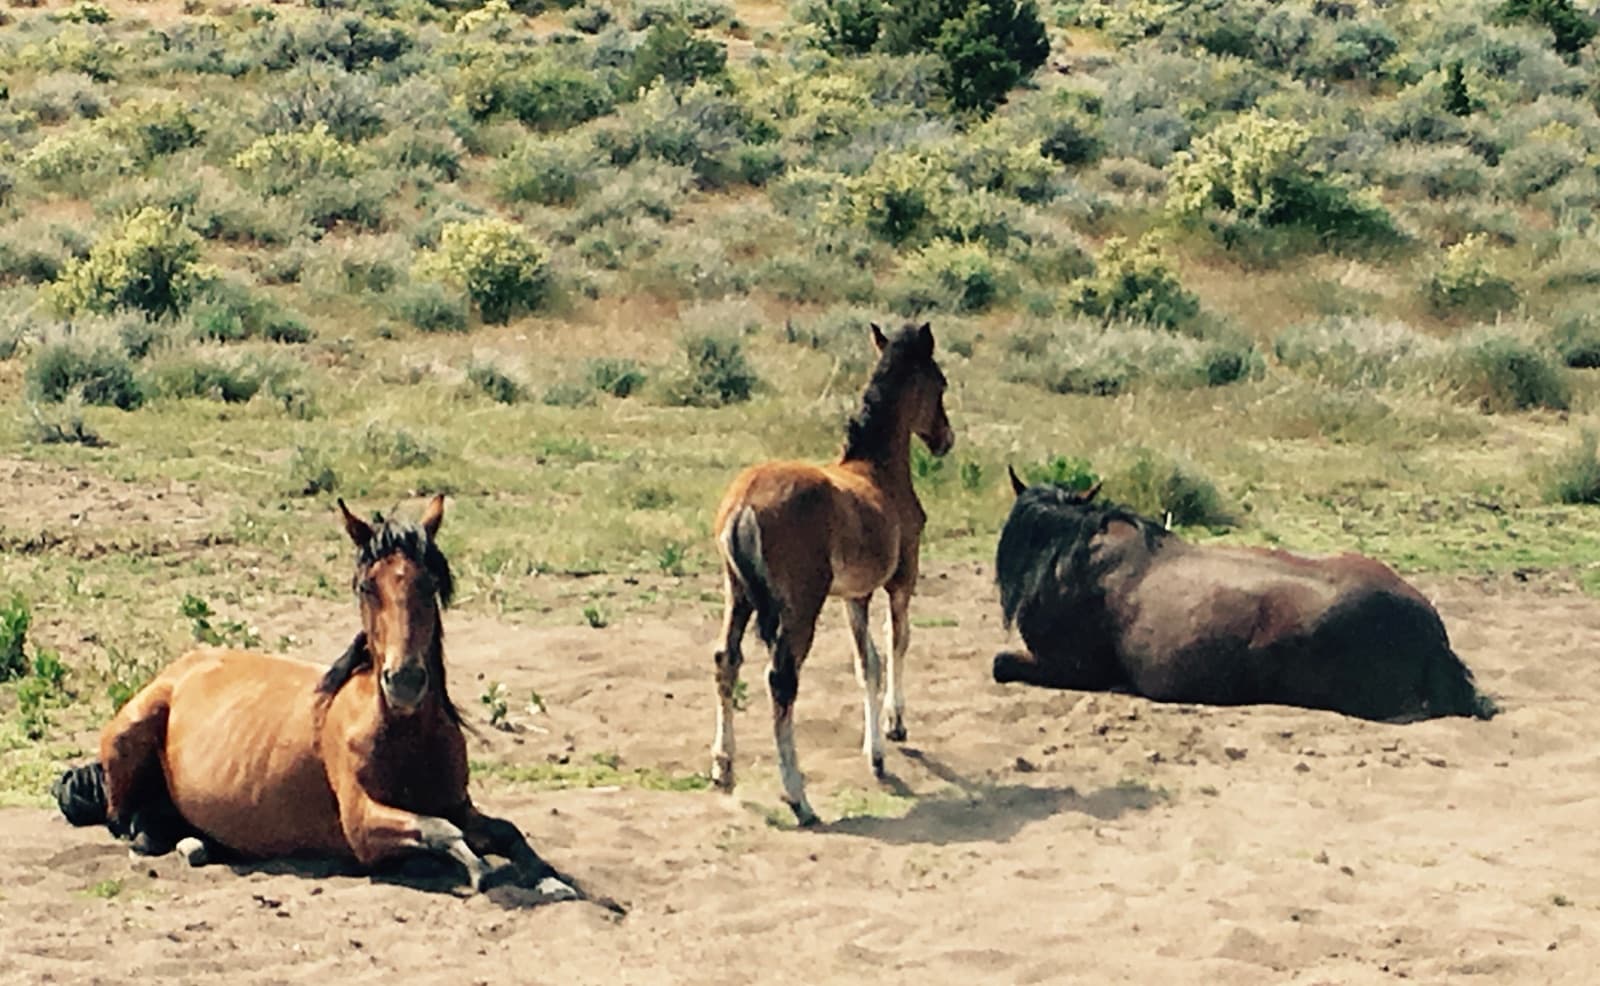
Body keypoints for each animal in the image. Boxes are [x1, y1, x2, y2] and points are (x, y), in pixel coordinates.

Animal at [54, 496, 580, 897]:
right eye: (368, 586)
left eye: (431, 582)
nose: (405, 681)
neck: (404, 734)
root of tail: (181, 669)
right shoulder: (363, 824)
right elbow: (444, 833)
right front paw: (484, 872)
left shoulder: (458, 803)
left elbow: (505, 831)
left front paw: (550, 879)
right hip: (130, 734)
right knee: (127, 821)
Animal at [710, 321, 955, 826]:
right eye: (940, 383)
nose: (946, 439)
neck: (878, 472)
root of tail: (744, 506)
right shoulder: (901, 577)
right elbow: (897, 642)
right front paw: (895, 726)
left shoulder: (853, 595)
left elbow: (868, 664)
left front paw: (876, 754)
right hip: (801, 606)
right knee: (781, 681)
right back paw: (798, 798)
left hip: (736, 593)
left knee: (727, 660)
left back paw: (723, 769)